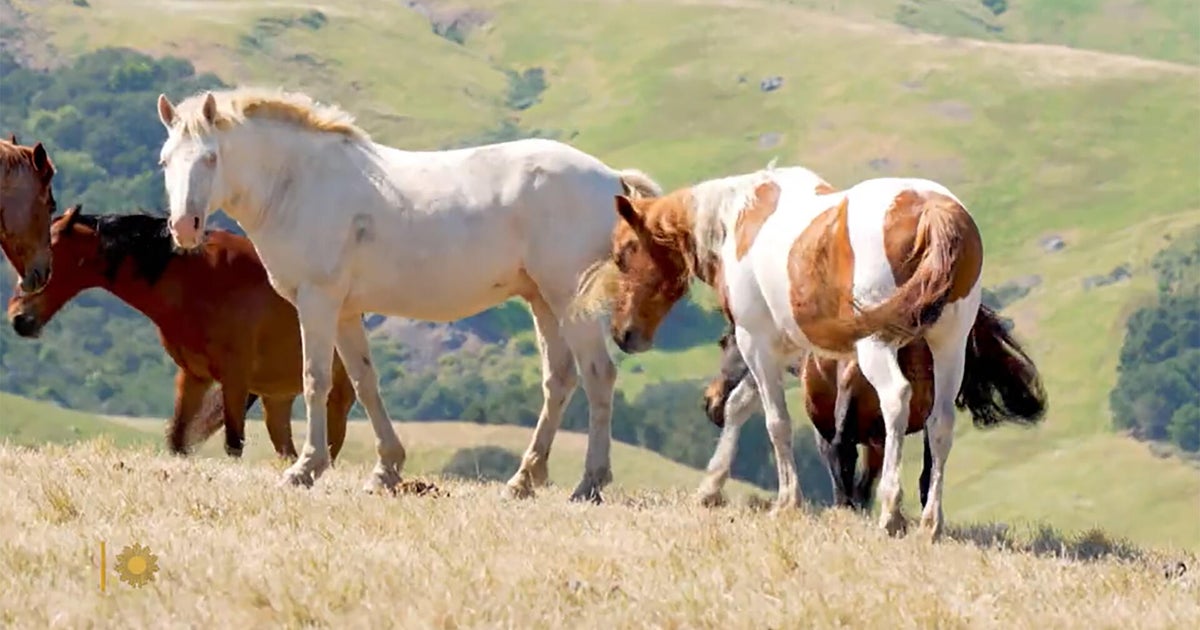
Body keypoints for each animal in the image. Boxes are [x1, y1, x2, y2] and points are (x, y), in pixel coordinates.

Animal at [6, 205, 357, 461]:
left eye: (48, 255)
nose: (18, 319)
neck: (198, 279)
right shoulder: (194, 376)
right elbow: (177, 441)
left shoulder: (235, 377)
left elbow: (233, 444)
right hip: (277, 398)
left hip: (332, 398)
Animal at [152, 87, 662, 502]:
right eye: (165, 160)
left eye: (210, 157)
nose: (184, 227)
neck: (298, 183)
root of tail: (611, 178)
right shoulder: (345, 313)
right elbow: (364, 382)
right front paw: (386, 470)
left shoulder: (318, 302)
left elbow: (315, 379)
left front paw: (305, 469)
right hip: (543, 302)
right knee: (559, 381)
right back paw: (523, 480)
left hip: (570, 301)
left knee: (598, 376)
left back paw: (589, 483)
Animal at [574, 163, 993, 539]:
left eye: (624, 253)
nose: (623, 334)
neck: (739, 221)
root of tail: (931, 209)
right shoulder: (788, 349)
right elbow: (741, 405)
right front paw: (712, 487)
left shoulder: (754, 342)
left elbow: (776, 422)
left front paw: (787, 501)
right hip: (949, 346)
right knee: (940, 424)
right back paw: (930, 522)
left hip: (877, 346)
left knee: (896, 399)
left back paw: (891, 510)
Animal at [701, 300, 1046, 513]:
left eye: (723, 342)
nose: (711, 402)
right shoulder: (877, 442)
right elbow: (866, 485)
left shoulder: (828, 430)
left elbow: (844, 479)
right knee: (926, 475)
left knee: (845, 462)